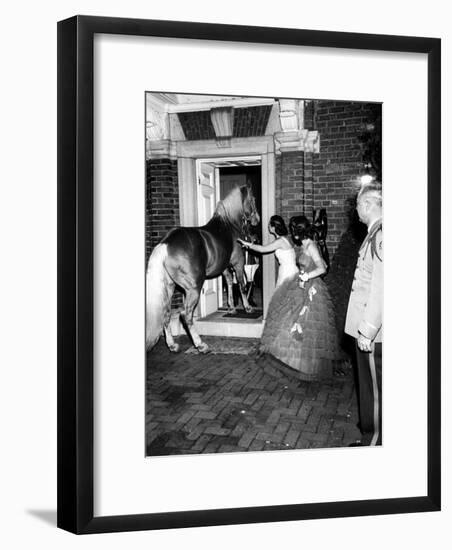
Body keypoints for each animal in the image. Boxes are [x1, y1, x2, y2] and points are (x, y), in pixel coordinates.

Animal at [145, 183, 258, 356]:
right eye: (253, 199)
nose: (256, 220)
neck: (228, 225)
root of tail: (165, 244)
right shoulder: (238, 263)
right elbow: (241, 285)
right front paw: (248, 307)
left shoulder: (224, 268)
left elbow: (229, 284)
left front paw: (231, 308)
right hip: (193, 288)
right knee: (185, 315)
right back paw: (200, 345)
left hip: (169, 287)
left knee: (166, 313)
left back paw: (172, 345)